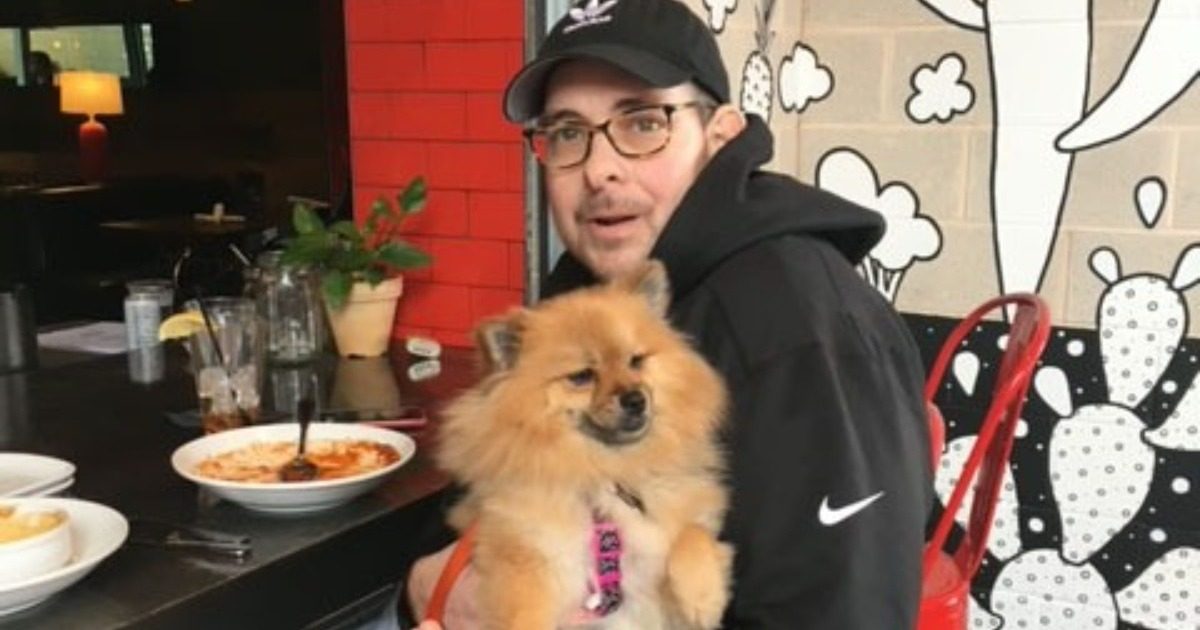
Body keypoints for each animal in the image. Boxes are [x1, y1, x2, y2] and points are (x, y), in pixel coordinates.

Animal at [439, 258, 729, 624]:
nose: (635, 399)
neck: (605, 473)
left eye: (636, 361)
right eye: (582, 377)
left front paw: (703, 596)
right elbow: (523, 617)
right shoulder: (523, 562)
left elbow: (693, 534)